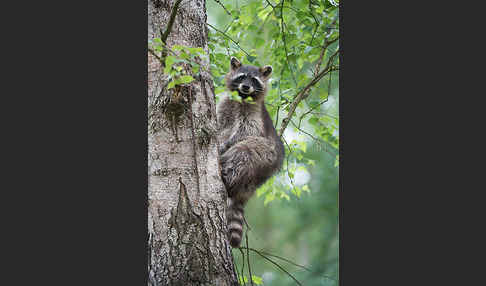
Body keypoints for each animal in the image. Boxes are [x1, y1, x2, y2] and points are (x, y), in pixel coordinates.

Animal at [216, 57, 284, 247]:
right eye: (242, 77)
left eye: (254, 80)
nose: (246, 87)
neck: (243, 96)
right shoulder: (226, 103)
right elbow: (220, 123)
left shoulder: (254, 113)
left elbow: (247, 131)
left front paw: (225, 144)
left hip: (266, 155)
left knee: (244, 151)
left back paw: (227, 174)